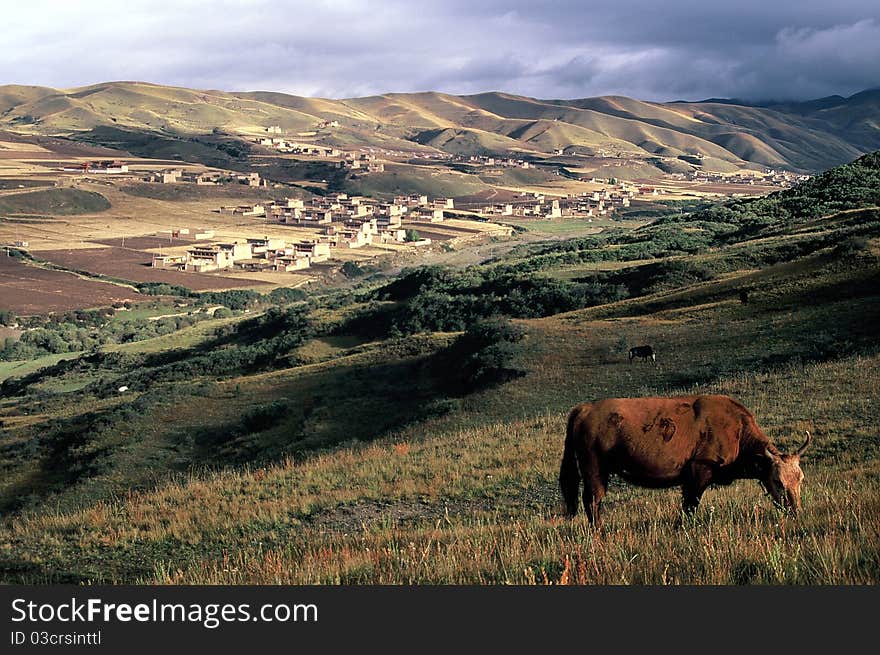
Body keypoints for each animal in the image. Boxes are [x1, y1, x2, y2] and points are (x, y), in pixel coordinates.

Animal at [560, 394, 808, 528]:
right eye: (777, 481)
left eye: (801, 479)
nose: (795, 511)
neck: (737, 431)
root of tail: (585, 408)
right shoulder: (699, 471)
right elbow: (690, 505)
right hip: (594, 470)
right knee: (592, 500)